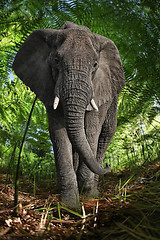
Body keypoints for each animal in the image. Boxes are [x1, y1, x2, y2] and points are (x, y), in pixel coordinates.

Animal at [12, 21, 125, 207]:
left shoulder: (101, 87)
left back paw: (94, 190)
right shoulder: (48, 84)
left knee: (106, 134)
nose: (109, 166)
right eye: (56, 61)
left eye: (95, 65)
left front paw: (88, 196)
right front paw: (70, 205)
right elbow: (59, 132)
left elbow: (92, 130)